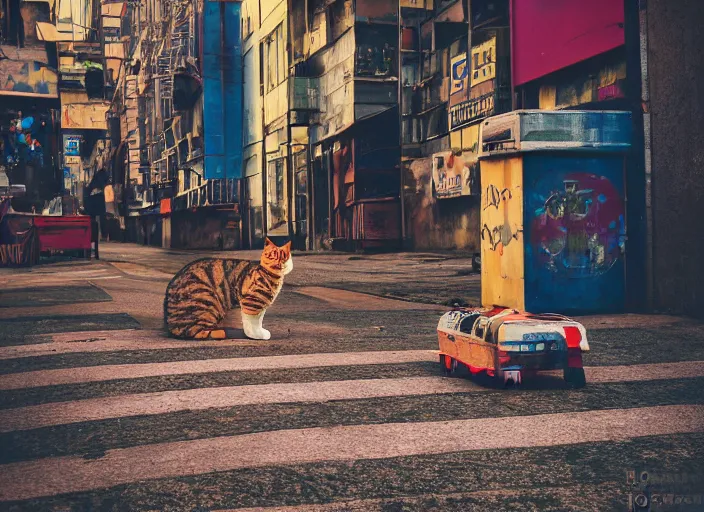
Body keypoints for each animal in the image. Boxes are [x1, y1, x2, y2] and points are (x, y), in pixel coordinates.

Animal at [164, 239, 292, 340]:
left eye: (284, 257)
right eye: (272, 256)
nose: (279, 264)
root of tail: (169, 324)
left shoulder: (260, 305)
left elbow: (259, 320)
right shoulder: (252, 303)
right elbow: (253, 322)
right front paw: (256, 335)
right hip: (207, 300)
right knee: (195, 332)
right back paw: (221, 332)